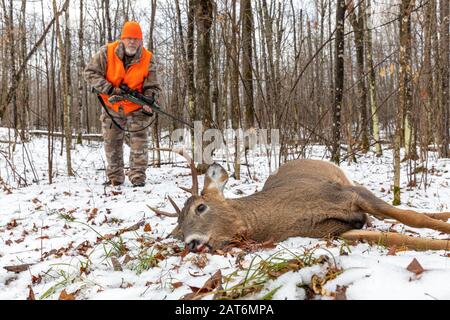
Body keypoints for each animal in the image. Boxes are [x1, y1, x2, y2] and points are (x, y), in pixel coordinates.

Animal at [150, 149, 450, 252]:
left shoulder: (346, 193)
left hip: (349, 181)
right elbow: (400, 239)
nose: (191, 244)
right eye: (178, 232)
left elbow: (412, 217)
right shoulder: (333, 231)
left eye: (201, 207)